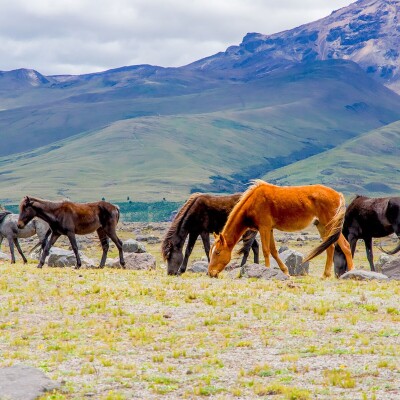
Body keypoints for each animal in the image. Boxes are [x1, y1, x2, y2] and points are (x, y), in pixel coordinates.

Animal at [208, 181, 354, 278]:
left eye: (218, 252)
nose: (210, 273)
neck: (253, 202)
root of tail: (338, 194)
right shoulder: (270, 229)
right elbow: (273, 251)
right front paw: (285, 271)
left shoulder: (264, 228)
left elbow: (266, 250)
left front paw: (265, 270)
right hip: (322, 226)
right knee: (330, 247)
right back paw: (325, 275)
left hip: (331, 225)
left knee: (345, 246)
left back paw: (351, 272)